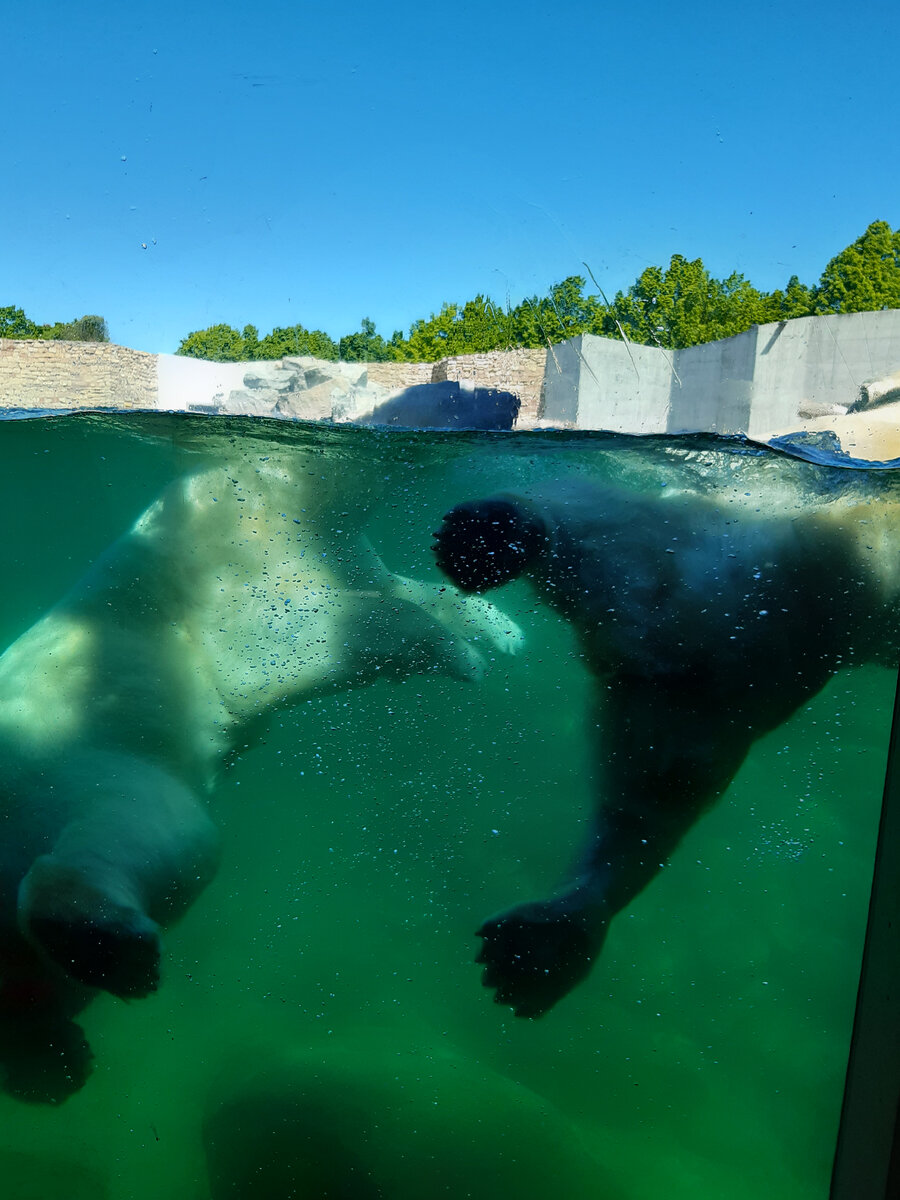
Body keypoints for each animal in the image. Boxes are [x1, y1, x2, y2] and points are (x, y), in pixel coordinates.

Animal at [0, 444, 523, 1103]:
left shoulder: (339, 551)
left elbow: (404, 587)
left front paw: (504, 628)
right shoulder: (236, 582)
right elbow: (302, 637)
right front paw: (462, 654)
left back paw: (53, 1059)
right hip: (80, 762)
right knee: (154, 833)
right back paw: (107, 948)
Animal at [432, 476, 899, 1018]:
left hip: (710, 682)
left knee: (651, 794)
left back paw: (535, 952)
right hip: (771, 581)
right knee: (621, 534)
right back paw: (489, 536)